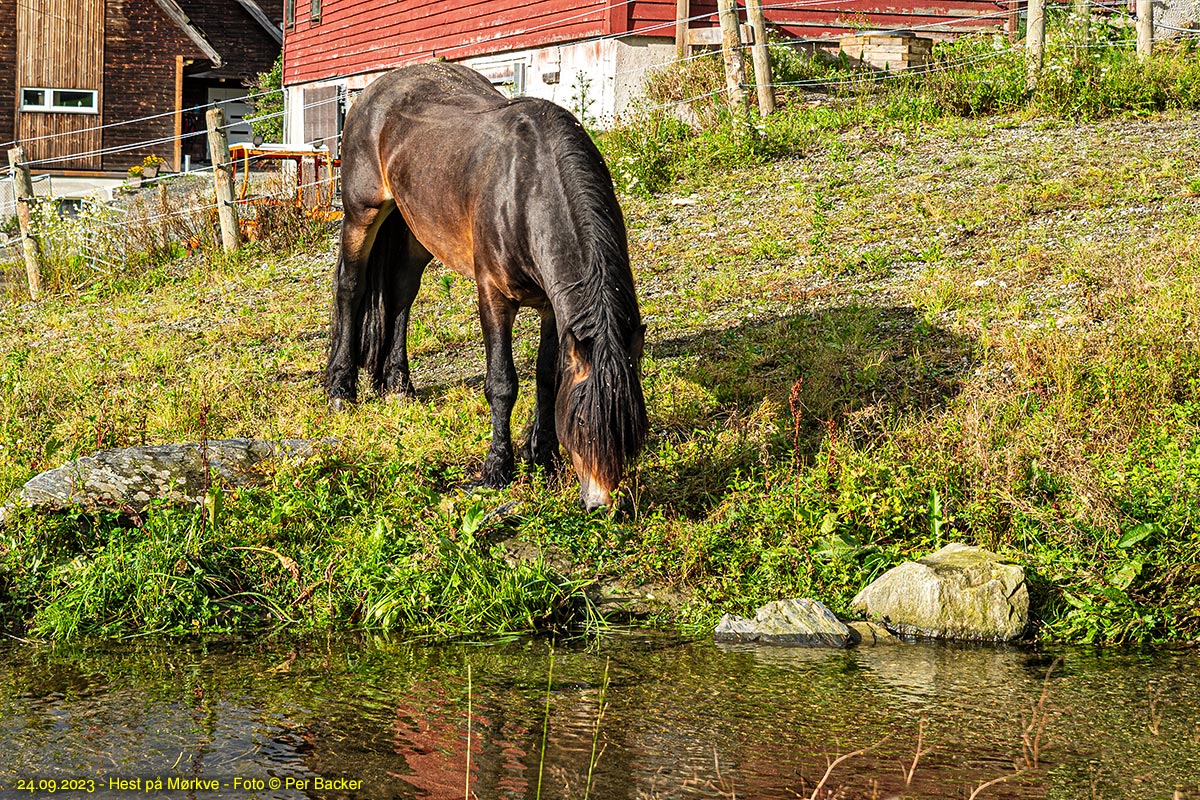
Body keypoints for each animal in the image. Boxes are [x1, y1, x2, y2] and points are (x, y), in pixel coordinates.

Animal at [326, 62, 648, 513]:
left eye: (632, 427)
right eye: (583, 421)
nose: (601, 505)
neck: (527, 188)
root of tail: (374, 89)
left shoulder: (553, 307)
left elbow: (547, 377)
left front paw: (543, 457)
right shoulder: (494, 296)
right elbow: (502, 383)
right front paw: (497, 469)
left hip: (418, 230)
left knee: (401, 294)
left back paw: (399, 386)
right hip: (362, 212)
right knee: (350, 287)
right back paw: (340, 388)